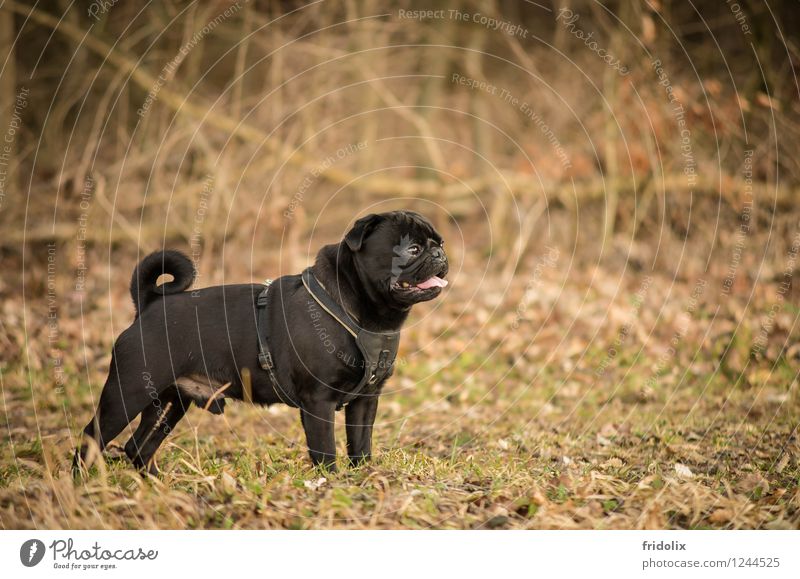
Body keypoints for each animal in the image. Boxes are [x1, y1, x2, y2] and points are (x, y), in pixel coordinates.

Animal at [73, 211, 450, 474]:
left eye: (439, 243)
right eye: (413, 249)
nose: (440, 255)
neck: (361, 311)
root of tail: (149, 304)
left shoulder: (365, 400)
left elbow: (360, 445)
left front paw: (363, 479)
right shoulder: (318, 402)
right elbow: (325, 451)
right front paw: (330, 483)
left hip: (170, 400)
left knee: (139, 447)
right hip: (128, 392)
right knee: (92, 438)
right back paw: (82, 485)